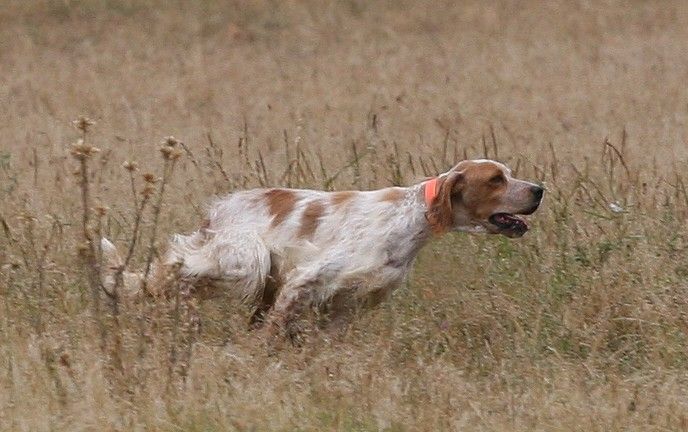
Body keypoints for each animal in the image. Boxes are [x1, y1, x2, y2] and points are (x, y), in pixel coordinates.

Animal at [103, 159, 544, 338]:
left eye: (507, 174)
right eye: (496, 179)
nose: (540, 189)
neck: (408, 219)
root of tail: (218, 210)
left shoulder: (348, 304)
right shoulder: (306, 279)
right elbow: (273, 333)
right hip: (247, 260)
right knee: (173, 268)